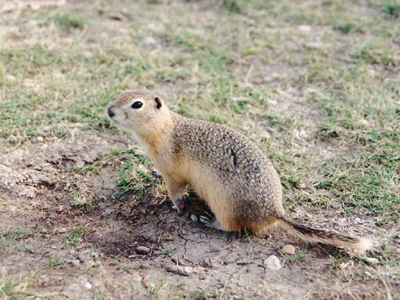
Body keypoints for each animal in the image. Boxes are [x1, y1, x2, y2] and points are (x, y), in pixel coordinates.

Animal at [108, 88, 374, 253]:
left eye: (137, 104)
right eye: (121, 93)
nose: (109, 110)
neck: (166, 129)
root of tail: (276, 211)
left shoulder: (173, 172)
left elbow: (176, 191)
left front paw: (177, 206)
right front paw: (153, 174)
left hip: (226, 206)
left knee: (234, 227)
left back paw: (209, 220)